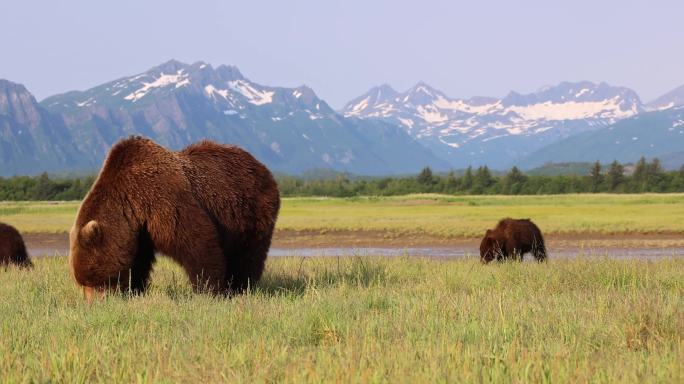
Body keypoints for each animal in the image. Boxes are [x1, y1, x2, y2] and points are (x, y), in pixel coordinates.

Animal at [69, 136, 280, 302]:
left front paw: (208, 291)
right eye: (81, 282)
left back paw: (241, 288)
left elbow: (198, 242)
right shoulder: (140, 231)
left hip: (253, 210)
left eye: (92, 279)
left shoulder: (163, 200)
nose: (93, 302)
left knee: (249, 254)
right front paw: (134, 289)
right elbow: (138, 261)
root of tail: (261, 166)